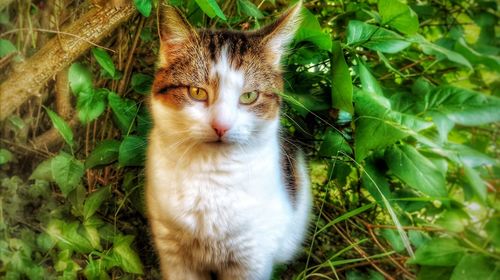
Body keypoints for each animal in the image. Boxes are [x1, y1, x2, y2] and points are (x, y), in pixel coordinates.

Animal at [145, 2, 310, 280]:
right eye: (197, 92)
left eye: (249, 96)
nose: (221, 125)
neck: (210, 175)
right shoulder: (173, 253)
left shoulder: (251, 261)